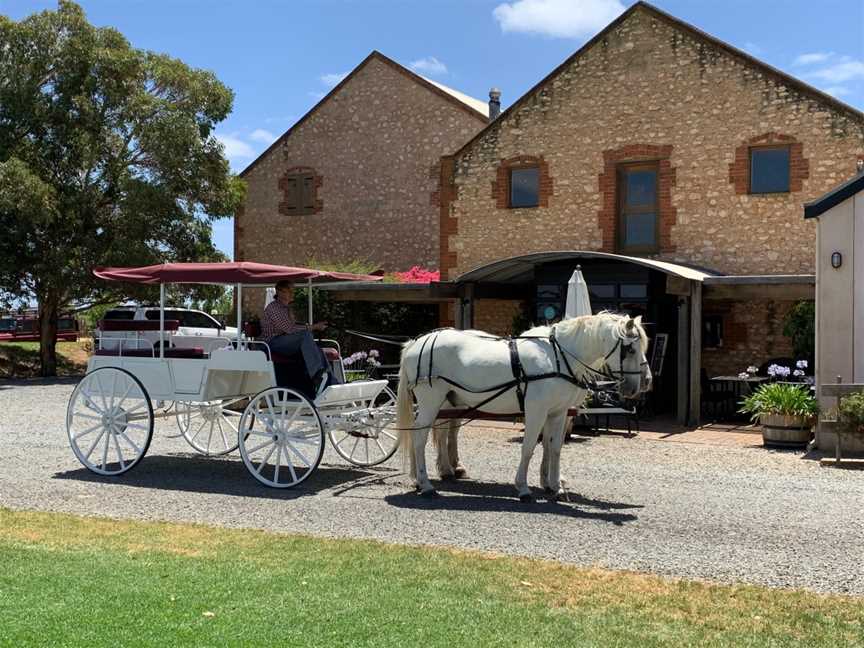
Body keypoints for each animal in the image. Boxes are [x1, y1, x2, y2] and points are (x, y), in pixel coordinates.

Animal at [394, 314, 652, 502]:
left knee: (438, 433)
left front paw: (555, 486)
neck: (557, 357)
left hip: (447, 402)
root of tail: (416, 343)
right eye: (630, 349)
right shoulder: (536, 412)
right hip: (430, 401)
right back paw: (425, 484)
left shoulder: (558, 413)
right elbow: (528, 448)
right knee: (419, 439)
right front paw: (524, 488)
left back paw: (429, 476)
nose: (646, 382)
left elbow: (554, 448)